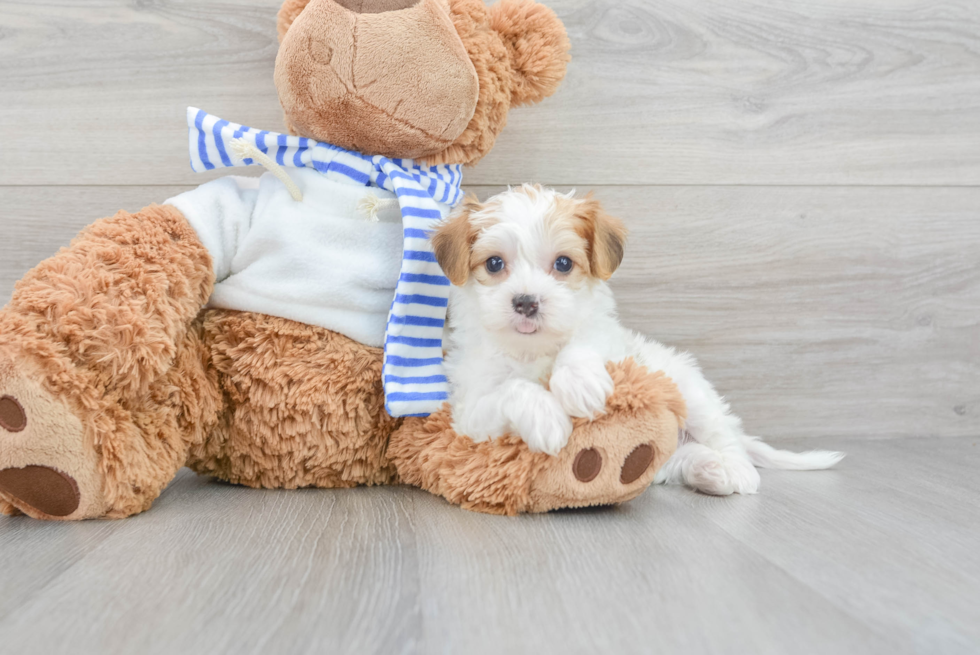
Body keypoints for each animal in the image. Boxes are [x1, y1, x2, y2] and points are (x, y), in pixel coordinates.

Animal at [432, 183, 848, 492]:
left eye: (563, 263)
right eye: (494, 264)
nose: (526, 302)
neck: (532, 351)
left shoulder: (613, 344)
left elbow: (584, 343)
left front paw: (579, 384)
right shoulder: (469, 413)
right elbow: (511, 390)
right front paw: (546, 417)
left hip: (691, 393)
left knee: (725, 437)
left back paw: (734, 470)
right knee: (676, 461)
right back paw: (707, 471)